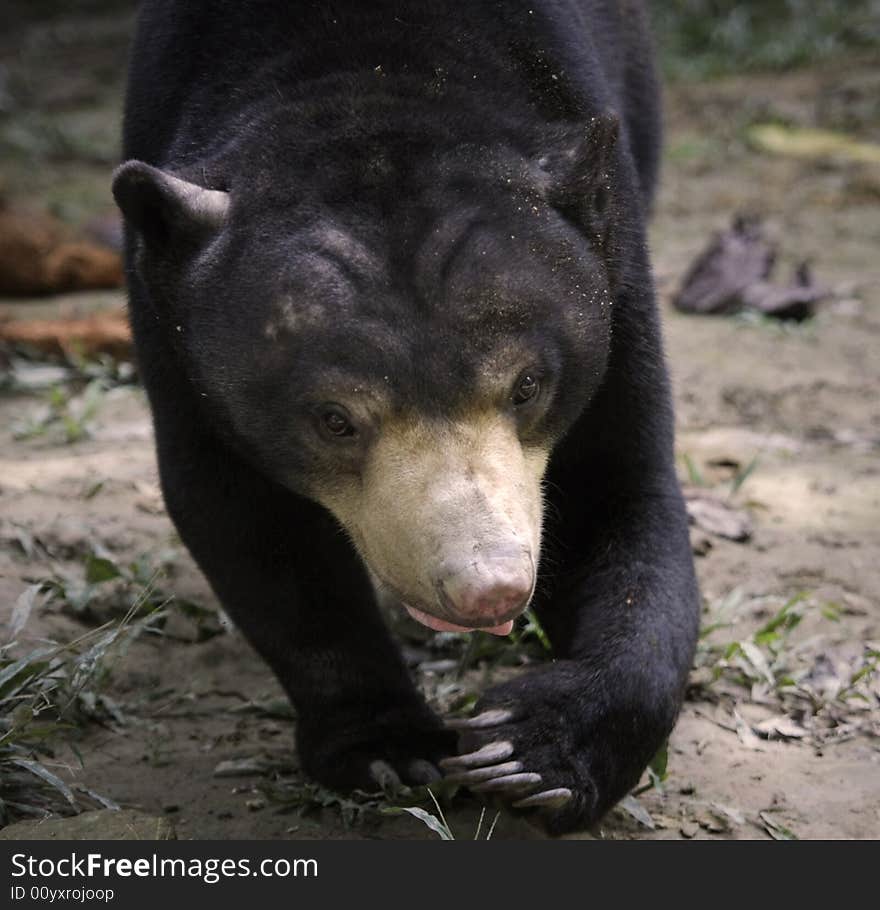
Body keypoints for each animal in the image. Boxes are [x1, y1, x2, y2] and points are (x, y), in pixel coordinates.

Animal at [111, 0, 700, 832]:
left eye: (527, 386)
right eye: (334, 420)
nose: (489, 591)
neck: (371, 76)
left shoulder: (614, 291)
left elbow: (619, 499)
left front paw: (529, 752)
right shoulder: (173, 332)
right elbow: (246, 523)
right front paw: (390, 749)